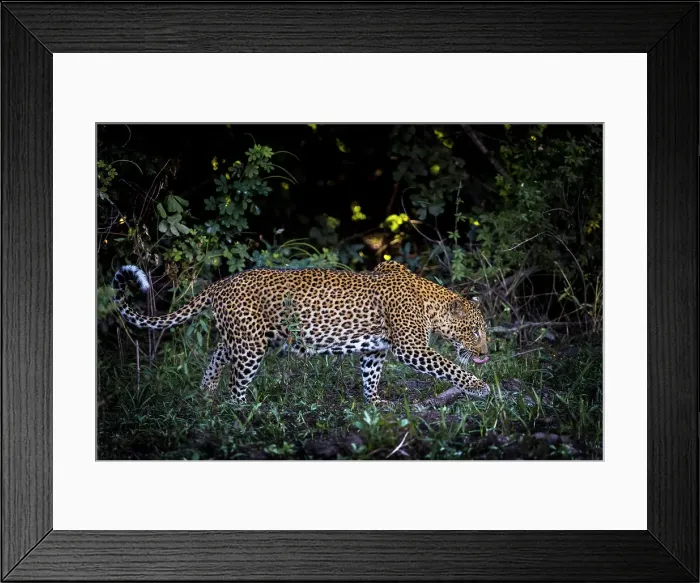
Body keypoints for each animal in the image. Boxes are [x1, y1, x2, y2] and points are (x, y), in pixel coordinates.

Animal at [112, 261, 490, 404]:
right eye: (474, 332)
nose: (487, 354)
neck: (431, 303)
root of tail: (222, 282)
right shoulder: (410, 347)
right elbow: (449, 366)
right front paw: (479, 386)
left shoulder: (375, 349)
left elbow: (370, 377)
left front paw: (375, 403)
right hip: (251, 346)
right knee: (237, 385)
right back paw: (243, 411)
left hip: (243, 336)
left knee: (217, 353)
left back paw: (206, 393)